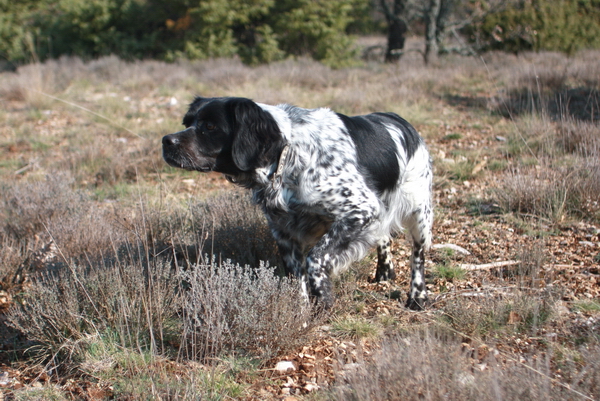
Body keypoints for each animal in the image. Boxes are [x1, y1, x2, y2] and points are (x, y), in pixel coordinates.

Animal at [162, 97, 434, 310]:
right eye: (187, 123)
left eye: (210, 126)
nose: (166, 140)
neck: (288, 155)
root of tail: (400, 121)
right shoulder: (285, 232)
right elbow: (296, 280)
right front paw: (301, 315)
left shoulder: (361, 209)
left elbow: (316, 259)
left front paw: (323, 296)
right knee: (384, 237)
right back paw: (384, 274)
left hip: (419, 214)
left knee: (418, 256)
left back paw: (417, 297)